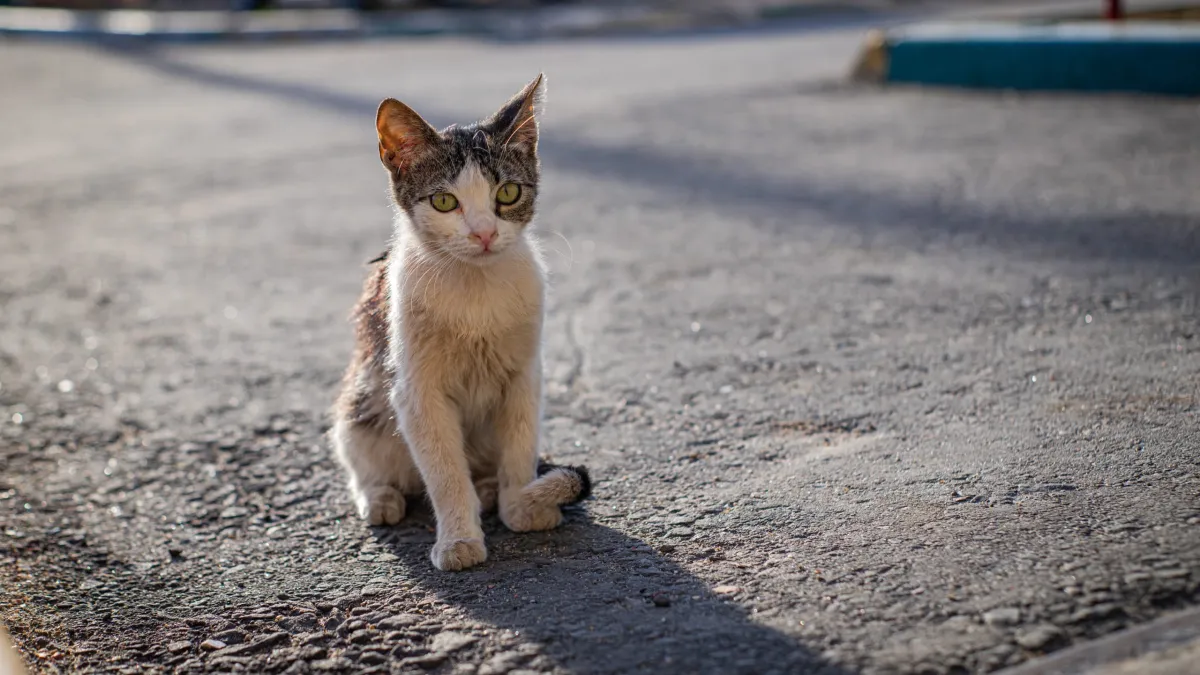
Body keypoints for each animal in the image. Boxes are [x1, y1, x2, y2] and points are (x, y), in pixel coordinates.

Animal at [328, 72, 590, 566]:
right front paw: (459, 540)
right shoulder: (417, 391)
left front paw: (520, 504)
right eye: (445, 202)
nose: (484, 233)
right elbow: (445, 471)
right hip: (360, 401)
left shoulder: (526, 373)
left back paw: (488, 489)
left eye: (507, 193)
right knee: (362, 458)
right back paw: (380, 496)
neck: (475, 288)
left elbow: (520, 445)